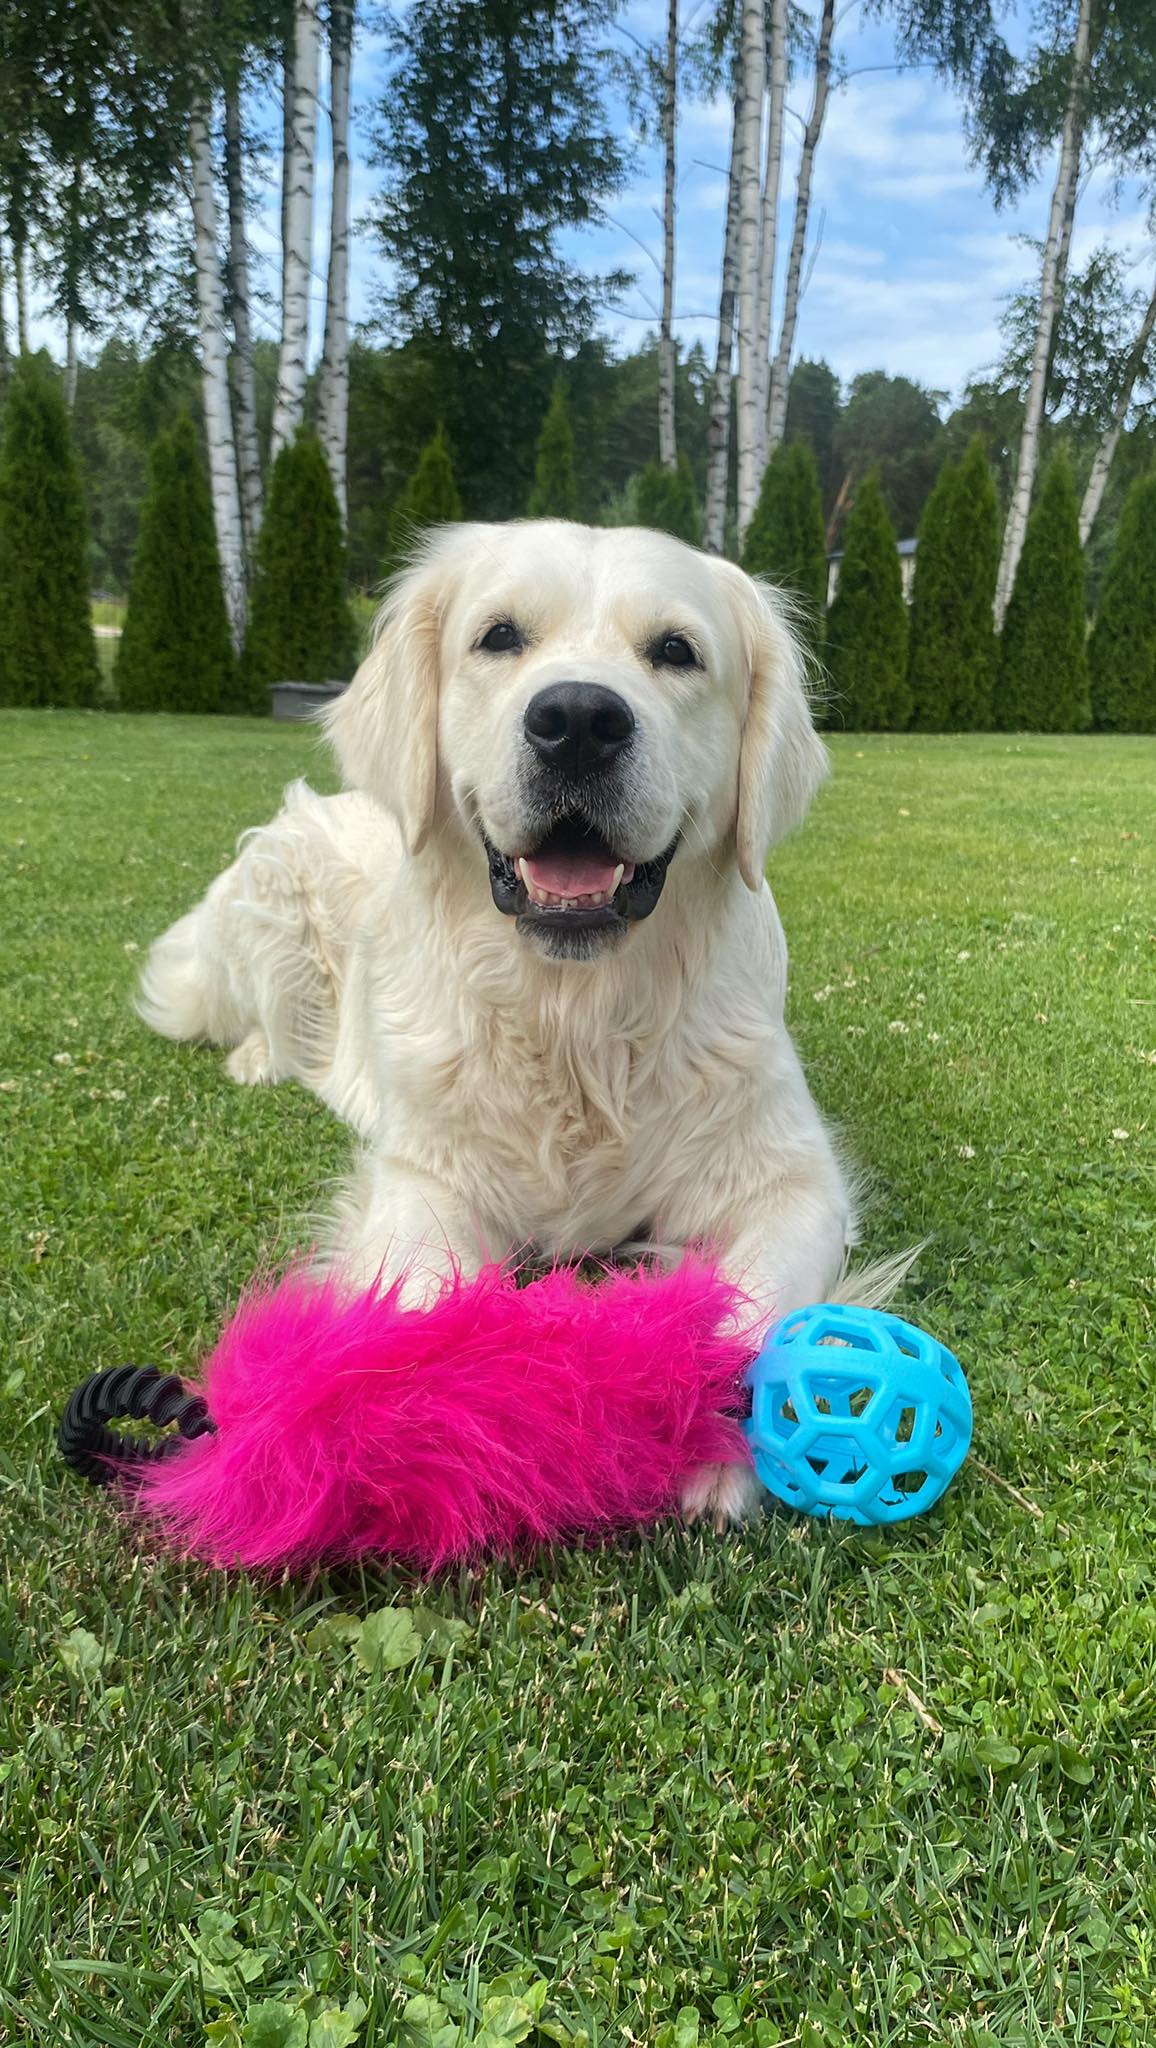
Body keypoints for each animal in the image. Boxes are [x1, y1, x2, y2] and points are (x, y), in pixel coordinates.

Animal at [142, 520, 869, 1531]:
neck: (576, 1019)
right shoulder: (426, 1174)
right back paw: (256, 1057)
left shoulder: (792, 1180)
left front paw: (701, 1433)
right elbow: (423, 1298)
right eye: (498, 638)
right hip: (273, 894)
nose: (578, 721)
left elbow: (753, 1300)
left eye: (676, 651)